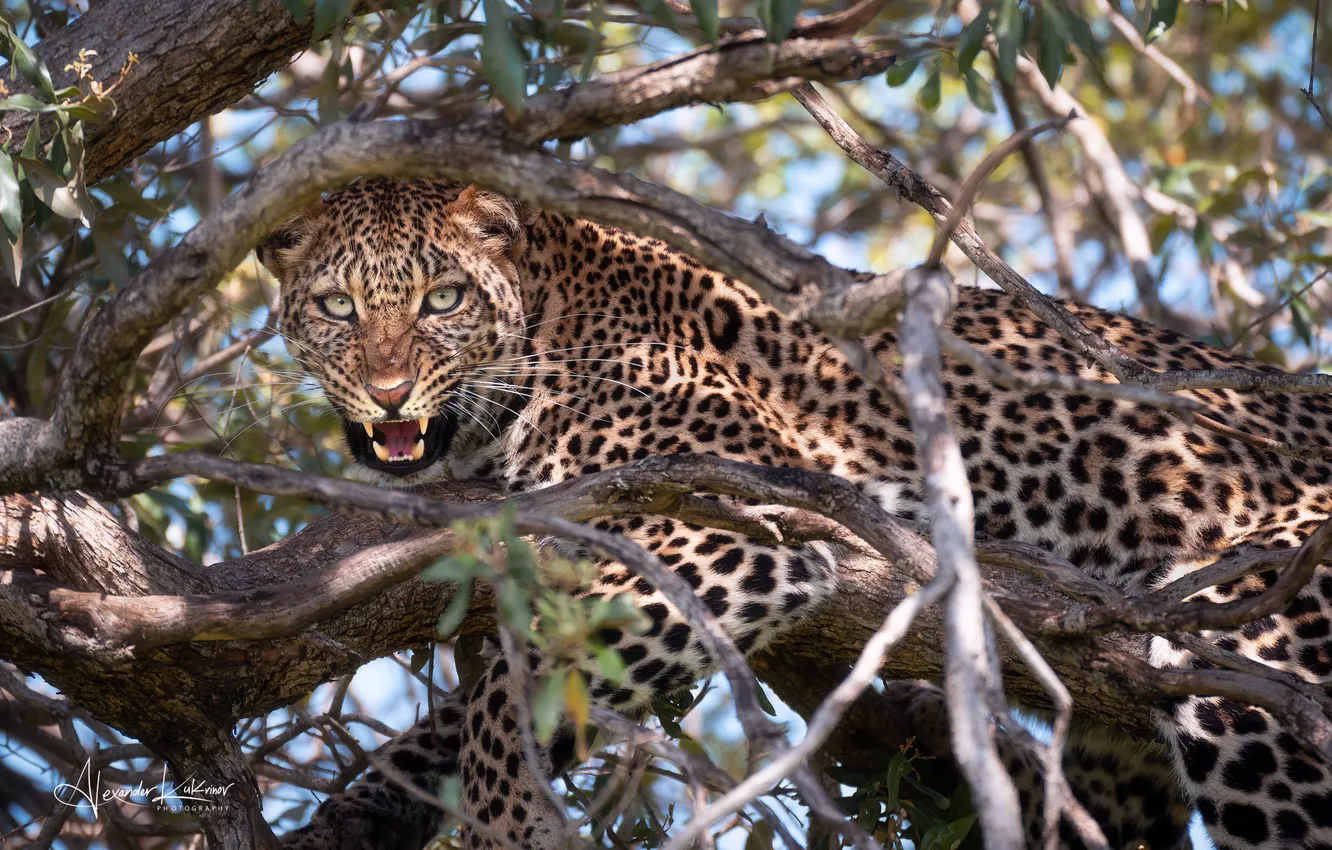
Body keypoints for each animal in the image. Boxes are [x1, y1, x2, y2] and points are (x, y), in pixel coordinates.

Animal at [259, 177, 1332, 850]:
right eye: (336, 306)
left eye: (442, 298)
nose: (389, 393)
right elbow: (471, 702)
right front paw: (365, 810)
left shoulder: (732, 520)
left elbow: (508, 694)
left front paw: (503, 819)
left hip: (1252, 653)